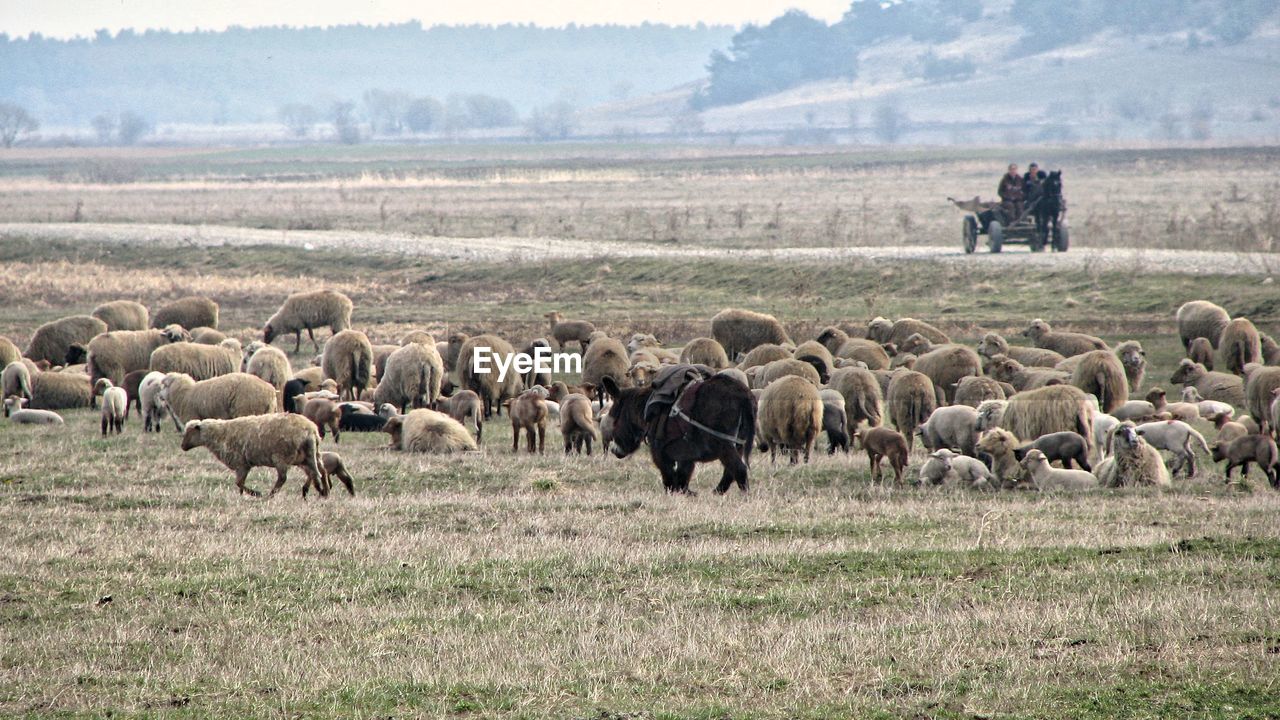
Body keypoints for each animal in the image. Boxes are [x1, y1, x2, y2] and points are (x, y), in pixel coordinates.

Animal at [180, 412, 325, 497]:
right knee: (317, 471)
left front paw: (255, 493)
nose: (182, 447)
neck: (219, 434)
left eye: (189, 432)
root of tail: (310, 430)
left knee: (283, 478)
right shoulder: (244, 465)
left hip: (281, 457)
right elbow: (240, 484)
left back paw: (270, 495)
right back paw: (321, 490)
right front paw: (241, 495)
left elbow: (238, 483)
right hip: (308, 455)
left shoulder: (241, 463)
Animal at [596, 368, 747, 491]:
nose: (614, 451)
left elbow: (668, 475)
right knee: (731, 470)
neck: (649, 408)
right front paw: (685, 492)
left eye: (614, 422)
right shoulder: (685, 453)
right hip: (737, 443)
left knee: (739, 468)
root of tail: (741, 395)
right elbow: (682, 475)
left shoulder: (659, 451)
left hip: (723, 443)